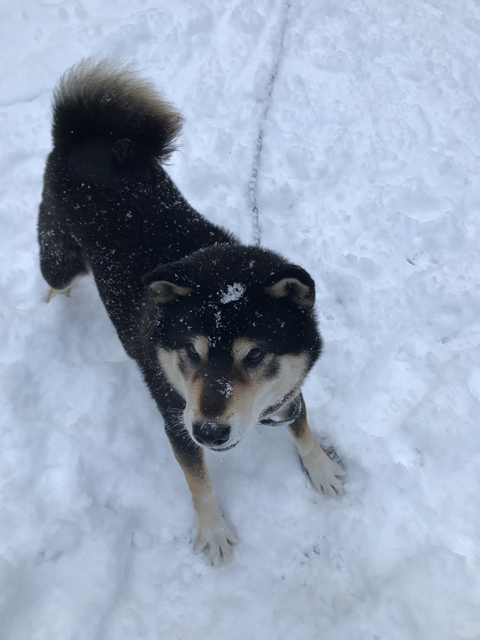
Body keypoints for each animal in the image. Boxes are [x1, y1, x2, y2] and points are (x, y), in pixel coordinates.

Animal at [38, 60, 344, 564]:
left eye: (255, 355)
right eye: (190, 352)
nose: (211, 432)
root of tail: (82, 135)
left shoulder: (287, 390)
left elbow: (301, 425)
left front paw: (320, 467)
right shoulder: (176, 420)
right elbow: (198, 481)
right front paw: (214, 532)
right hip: (60, 258)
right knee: (53, 282)